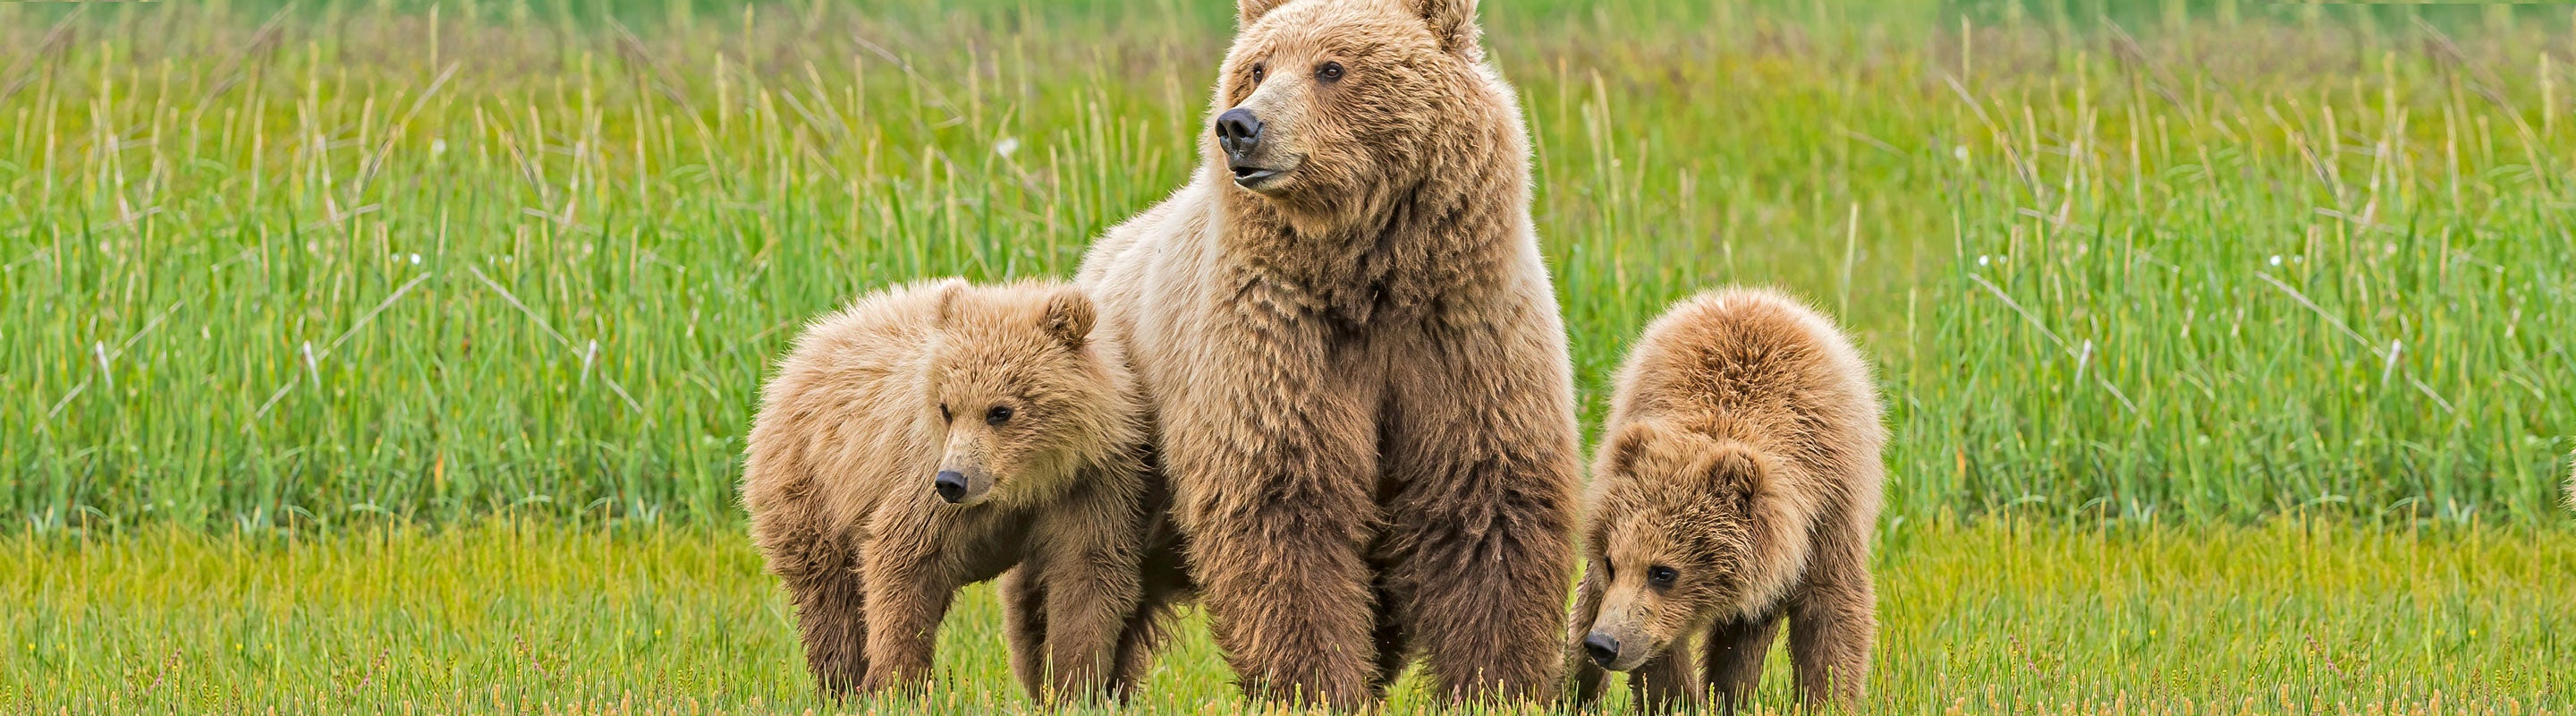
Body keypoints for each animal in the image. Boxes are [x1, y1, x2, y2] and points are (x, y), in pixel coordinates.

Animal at [738, 279, 1189, 703]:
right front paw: (899, 686)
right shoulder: (927, 482)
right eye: (947, 408)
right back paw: (842, 684)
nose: (953, 481)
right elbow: (902, 564)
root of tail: (803, 347)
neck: (1028, 483)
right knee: (832, 598)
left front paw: (1076, 687)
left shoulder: (1091, 485)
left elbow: (1087, 579)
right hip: (811, 489)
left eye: (1000, 411)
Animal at [1074, 0, 1583, 707]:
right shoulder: (1278, 339)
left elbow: (1486, 505)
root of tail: (1101, 251)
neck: (1371, 279)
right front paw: (1313, 685)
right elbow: (1287, 509)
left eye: (1332, 67)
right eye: (1258, 67)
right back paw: (1080, 680)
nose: (1239, 126)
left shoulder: (1463, 337)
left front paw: (1496, 683)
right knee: (1088, 575)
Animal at [1565, 287, 1885, 711]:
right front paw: (1676, 701)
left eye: (1663, 571)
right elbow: (1662, 652)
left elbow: (1831, 620)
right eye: (1613, 563)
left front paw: (1825, 699)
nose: (1605, 644)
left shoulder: (1831, 509)